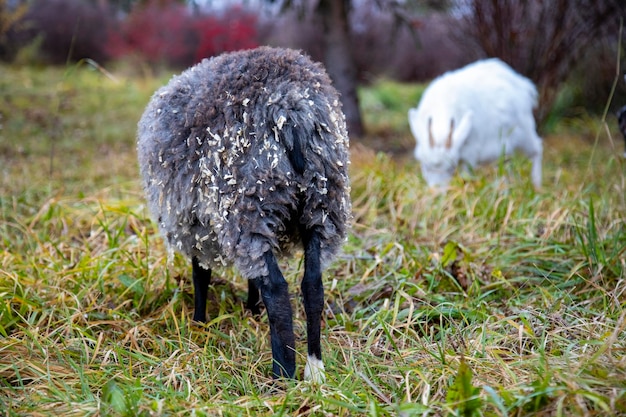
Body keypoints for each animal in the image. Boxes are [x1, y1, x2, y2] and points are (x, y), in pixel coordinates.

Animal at [137, 47, 352, 382]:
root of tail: (291, 107)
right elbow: (252, 278)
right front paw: (250, 310)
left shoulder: (196, 226)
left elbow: (201, 275)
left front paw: (199, 324)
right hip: (323, 204)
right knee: (312, 286)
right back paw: (314, 368)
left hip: (247, 204)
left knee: (276, 289)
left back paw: (282, 373)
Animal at [408, 57, 540, 188]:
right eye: (425, 166)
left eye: (451, 168)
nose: (437, 191)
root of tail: (522, 83)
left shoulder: (470, 154)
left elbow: (465, 178)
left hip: (525, 131)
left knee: (536, 149)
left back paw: (537, 185)